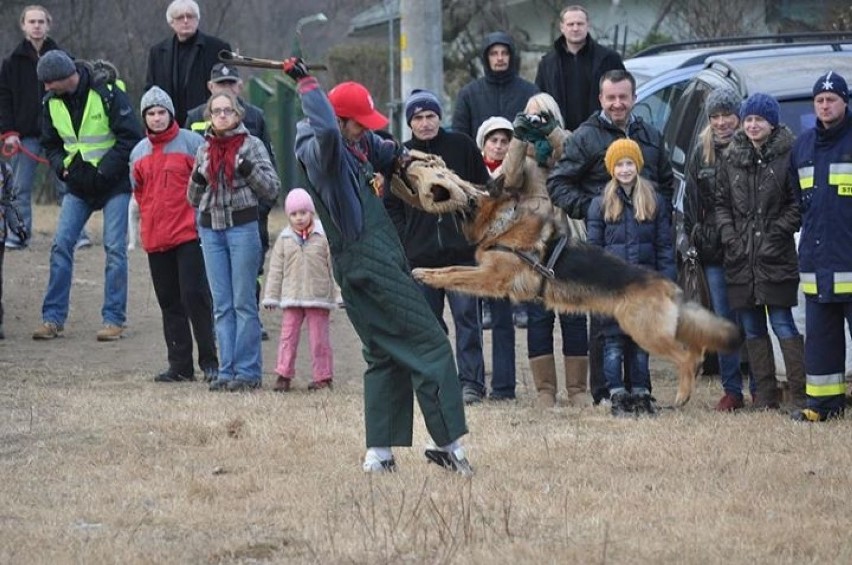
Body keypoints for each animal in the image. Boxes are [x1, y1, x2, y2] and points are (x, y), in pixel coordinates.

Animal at [412, 181, 740, 406]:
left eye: (469, 187)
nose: (442, 188)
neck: (503, 225)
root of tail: (668, 285)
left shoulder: (490, 278)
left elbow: (455, 273)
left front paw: (428, 276)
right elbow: (452, 268)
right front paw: (424, 272)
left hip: (646, 333)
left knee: (686, 357)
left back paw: (683, 394)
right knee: (697, 350)